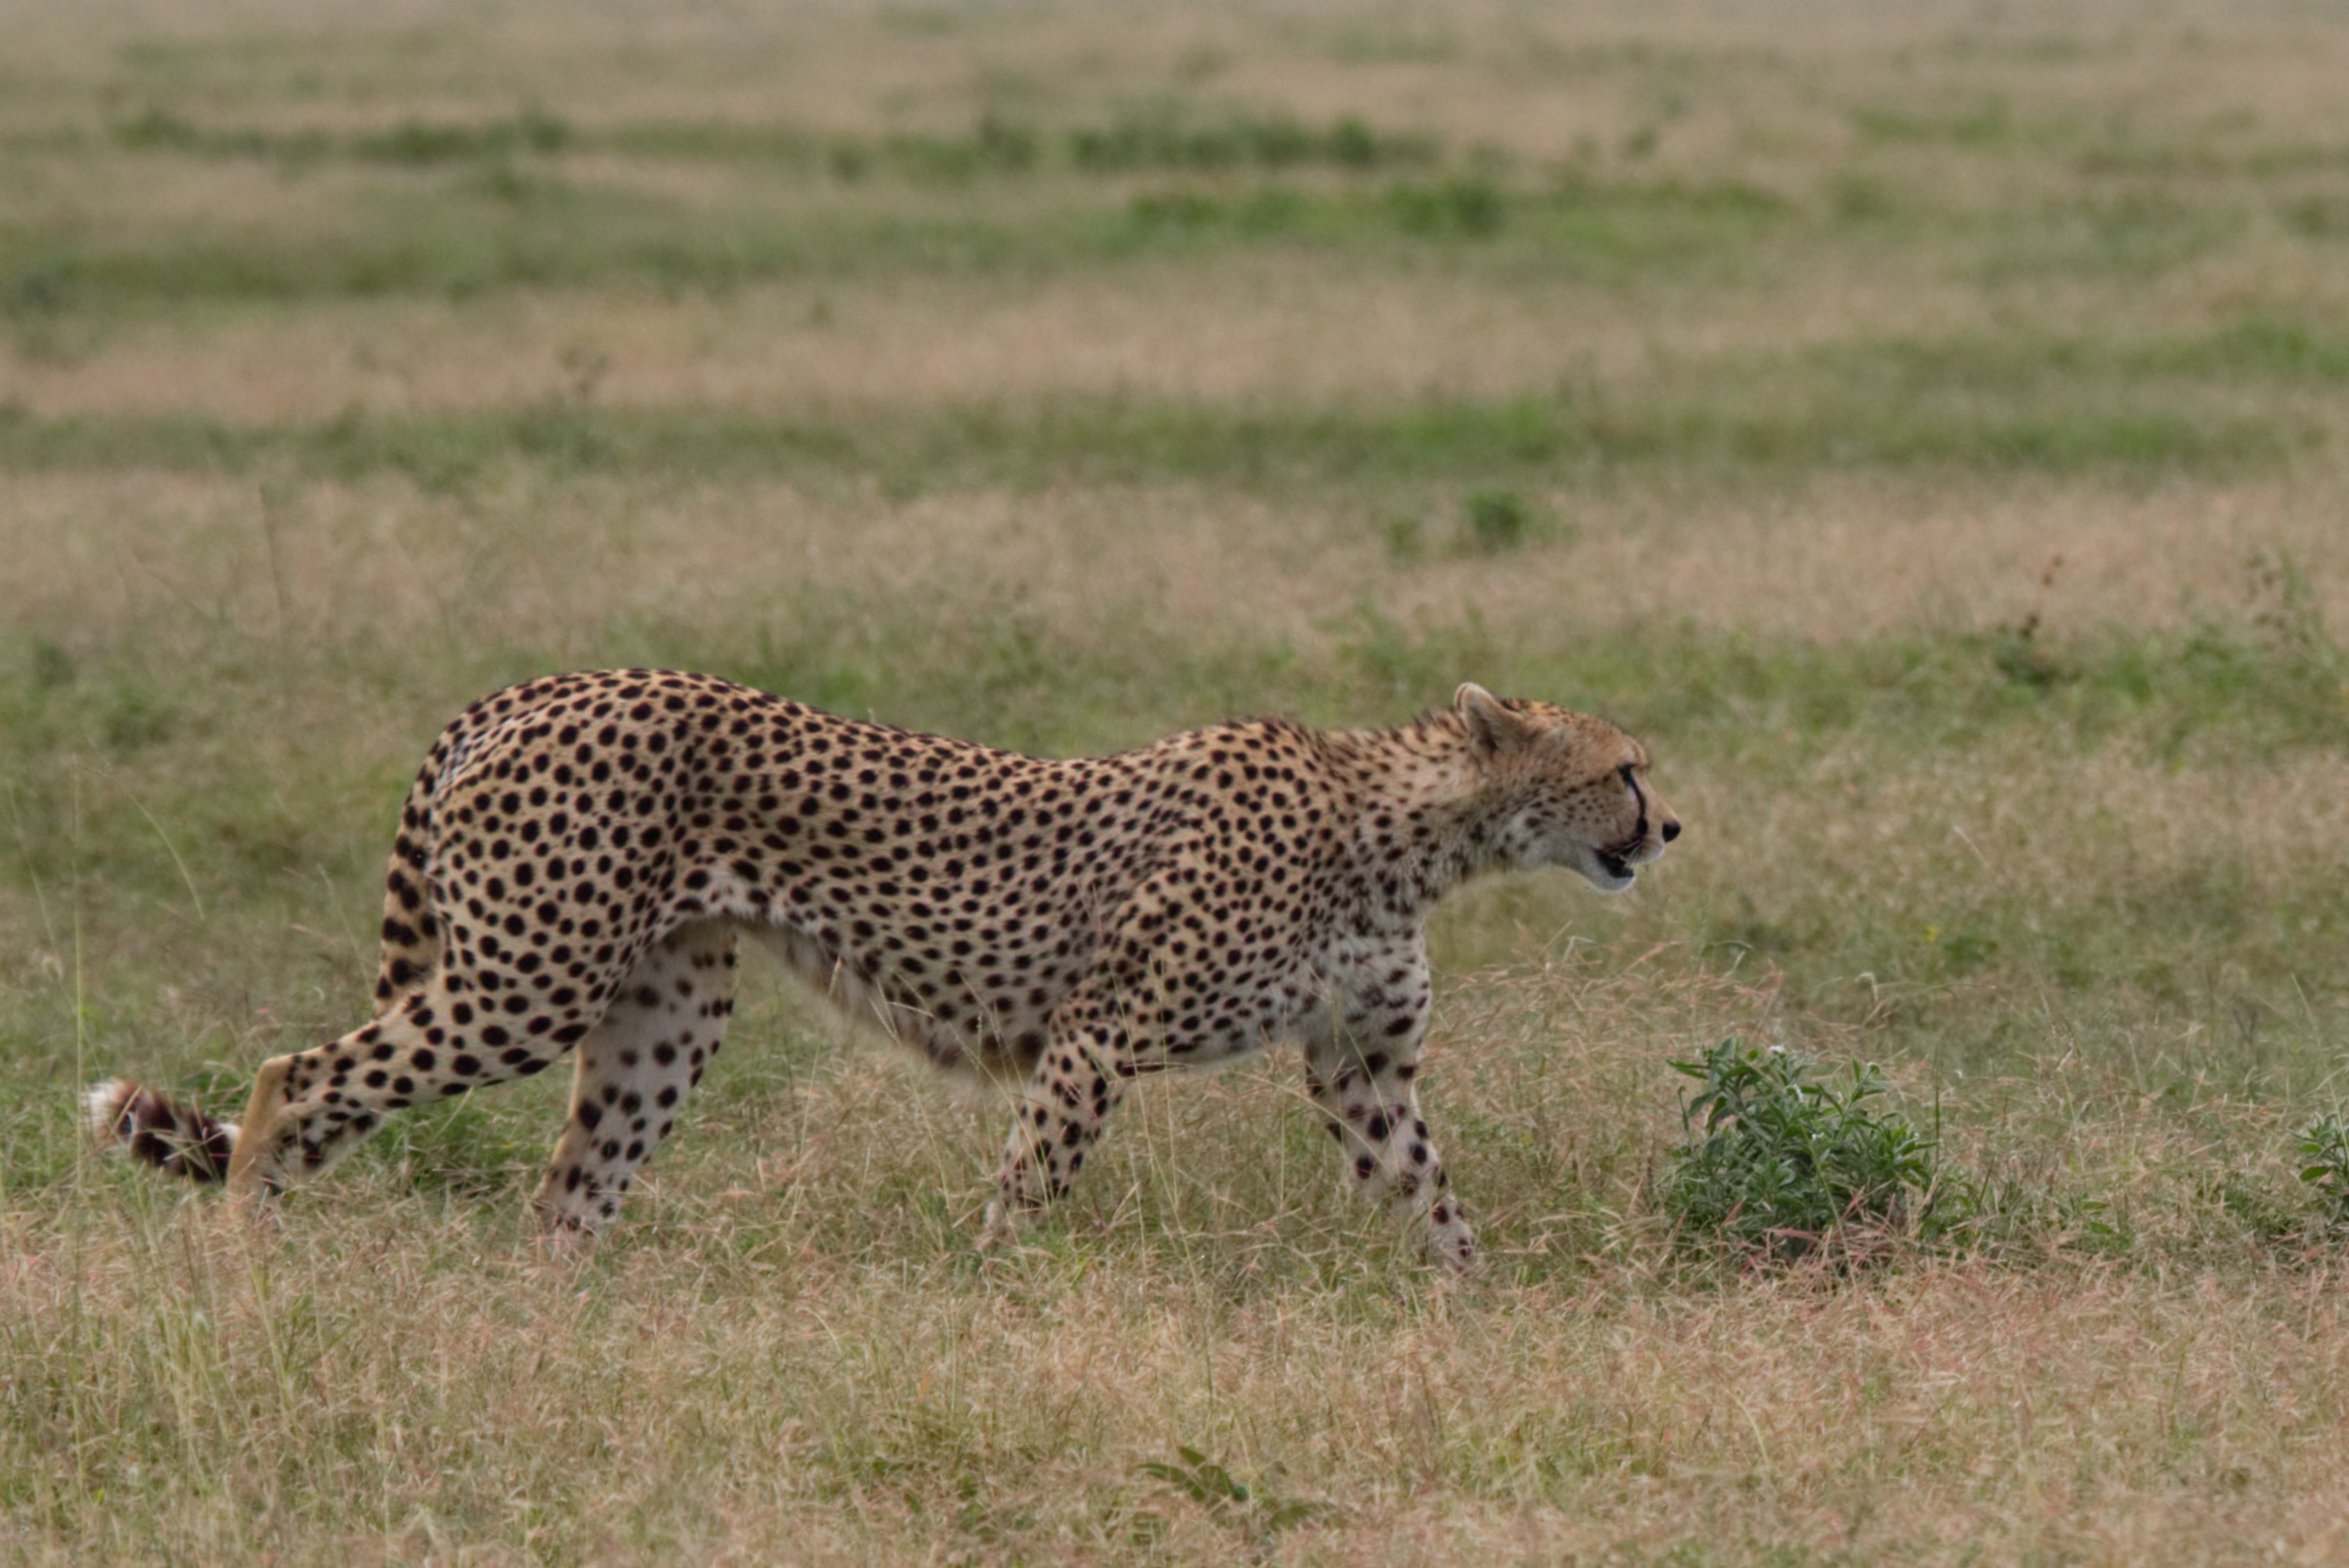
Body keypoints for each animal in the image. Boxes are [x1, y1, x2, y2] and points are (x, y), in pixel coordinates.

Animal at [87, 666, 1672, 1267]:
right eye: (1624, 765)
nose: (1670, 825)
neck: (1403, 830)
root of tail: (534, 685)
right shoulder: (1098, 1035)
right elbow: (1028, 1186)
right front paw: (991, 1301)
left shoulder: (1360, 1068)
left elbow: (1434, 1199)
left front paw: (1482, 1319)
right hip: (525, 980)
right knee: (296, 1072)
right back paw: (247, 1253)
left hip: (665, 1008)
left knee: (563, 1188)